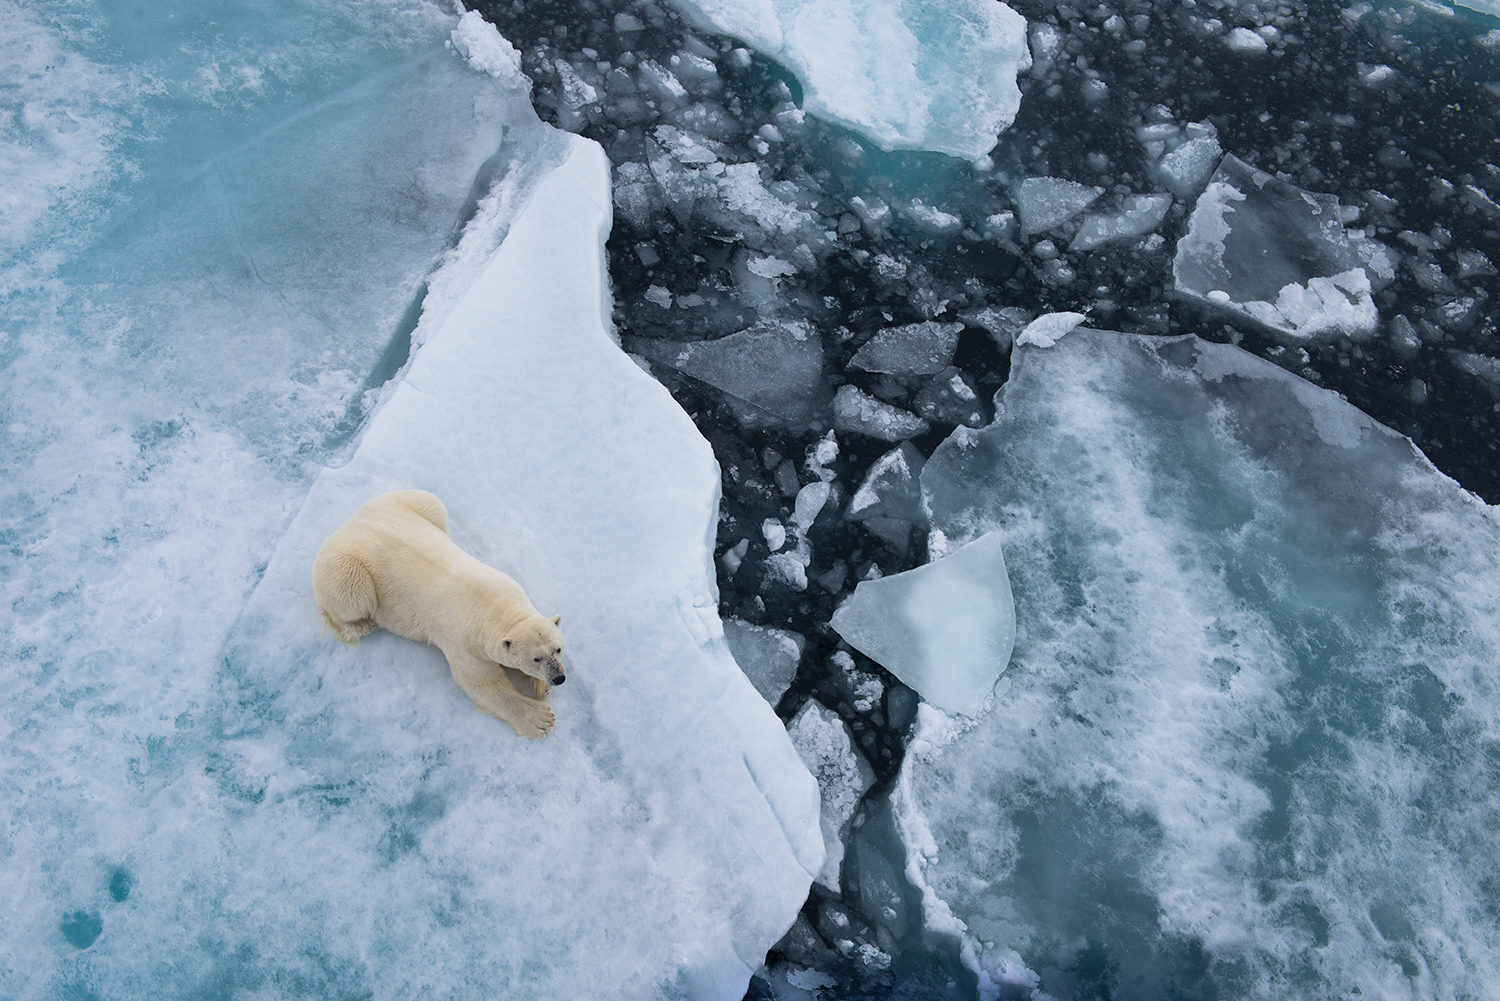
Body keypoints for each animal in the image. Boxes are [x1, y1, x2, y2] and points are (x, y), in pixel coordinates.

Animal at [309, 489, 564, 741]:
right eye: (536, 659)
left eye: (558, 649)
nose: (558, 678)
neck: (495, 609)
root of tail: (348, 525)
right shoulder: (464, 643)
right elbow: (482, 683)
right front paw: (541, 719)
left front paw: (541, 687)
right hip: (346, 569)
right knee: (351, 599)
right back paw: (359, 626)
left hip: (404, 502)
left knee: (432, 503)